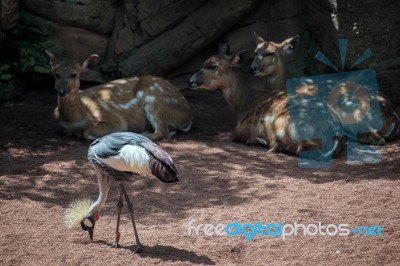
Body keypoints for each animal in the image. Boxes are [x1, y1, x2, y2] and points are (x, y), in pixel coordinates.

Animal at [45, 50, 192, 140]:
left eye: (74, 74)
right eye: (57, 74)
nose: (62, 92)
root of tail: (187, 114)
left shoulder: (114, 119)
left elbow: (87, 133)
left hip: (154, 99)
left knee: (162, 132)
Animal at [189, 43, 342, 158]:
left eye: (212, 66)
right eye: (204, 62)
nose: (190, 81)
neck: (245, 106)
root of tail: (335, 137)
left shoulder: (244, 127)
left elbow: (236, 134)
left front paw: (257, 140)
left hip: (282, 123)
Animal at [248, 33, 398, 145]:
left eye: (270, 53)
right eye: (255, 52)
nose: (252, 68)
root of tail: (393, 118)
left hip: (347, 107)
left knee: (374, 137)